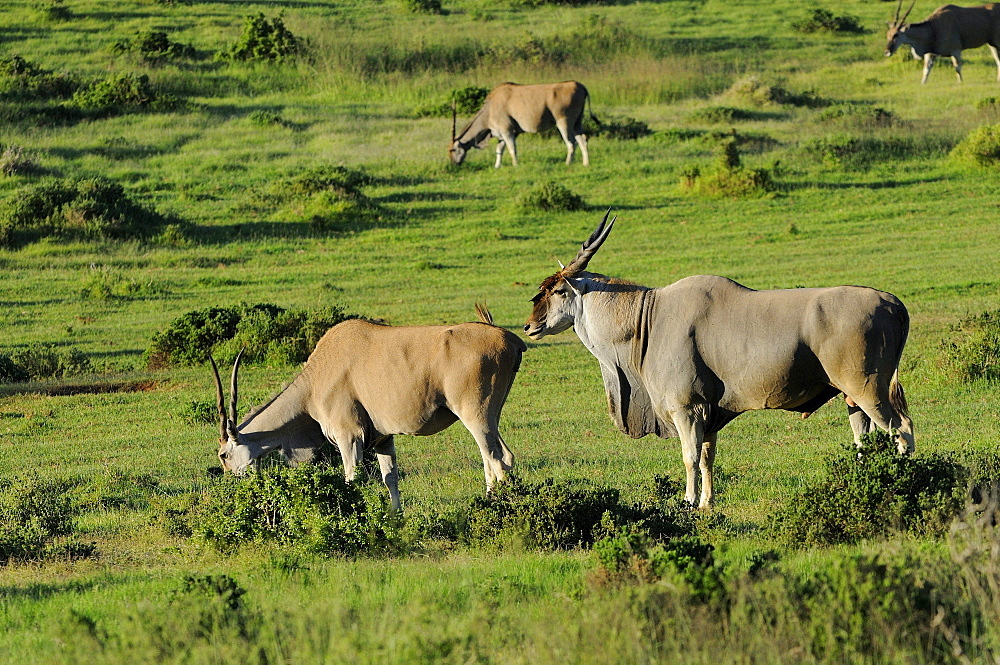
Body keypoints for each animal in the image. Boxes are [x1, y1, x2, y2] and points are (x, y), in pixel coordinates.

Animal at [211, 304, 524, 510]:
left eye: (224, 455)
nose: (230, 483)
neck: (315, 380)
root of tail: (510, 340)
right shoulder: (383, 440)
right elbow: (390, 479)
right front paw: (395, 521)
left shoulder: (349, 437)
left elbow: (351, 479)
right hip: (490, 417)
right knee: (496, 458)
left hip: (475, 415)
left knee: (497, 459)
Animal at [450, 80, 596, 166]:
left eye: (452, 150)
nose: (453, 164)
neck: (489, 108)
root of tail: (579, 85)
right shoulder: (503, 134)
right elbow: (499, 149)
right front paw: (497, 166)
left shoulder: (507, 130)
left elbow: (511, 148)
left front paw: (515, 165)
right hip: (577, 123)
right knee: (582, 139)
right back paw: (586, 163)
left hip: (563, 122)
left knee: (571, 143)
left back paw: (567, 163)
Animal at [524, 213, 916, 508]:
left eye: (557, 291)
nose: (529, 326)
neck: (648, 317)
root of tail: (894, 304)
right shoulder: (709, 413)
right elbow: (708, 457)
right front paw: (707, 504)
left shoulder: (686, 409)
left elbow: (689, 456)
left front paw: (688, 502)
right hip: (852, 397)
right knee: (865, 439)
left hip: (868, 389)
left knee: (901, 429)